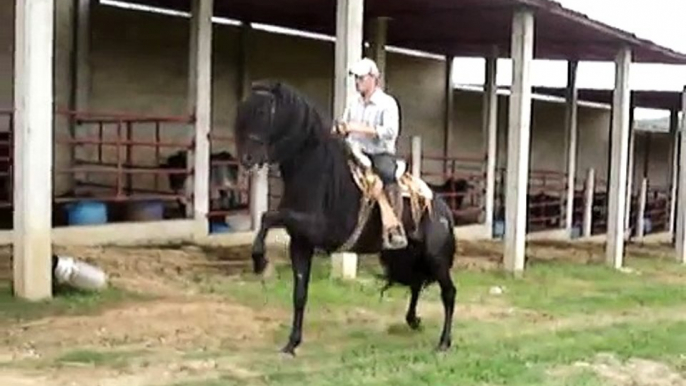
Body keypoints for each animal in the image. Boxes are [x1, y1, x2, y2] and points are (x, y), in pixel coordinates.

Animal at [235, 81, 456, 356]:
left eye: (264, 112)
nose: (246, 159)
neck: (316, 171)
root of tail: (443, 208)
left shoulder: (319, 229)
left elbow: (268, 216)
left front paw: (259, 261)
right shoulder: (300, 243)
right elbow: (300, 293)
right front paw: (292, 343)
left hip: (436, 258)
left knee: (448, 293)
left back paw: (444, 342)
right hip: (405, 255)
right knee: (415, 283)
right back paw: (413, 320)